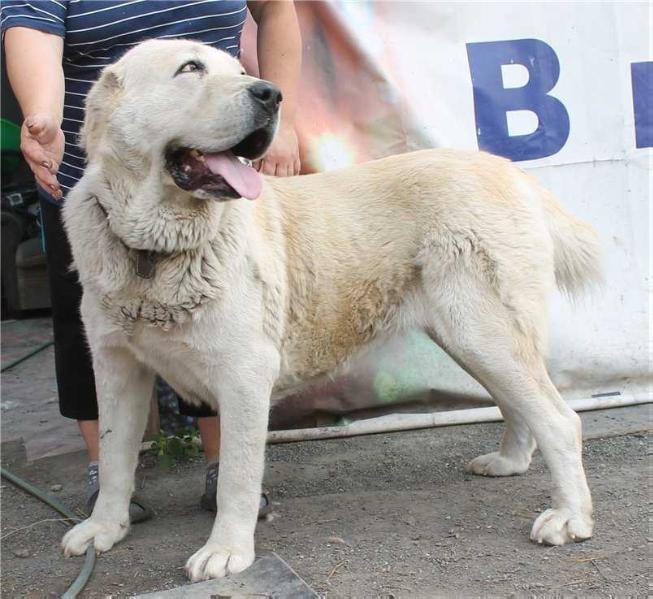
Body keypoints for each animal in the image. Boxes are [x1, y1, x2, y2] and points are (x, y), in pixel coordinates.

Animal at [62, 38, 600, 580]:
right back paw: (510, 462)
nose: (270, 93)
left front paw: (226, 549)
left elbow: (237, 475)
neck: (151, 252)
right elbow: (114, 457)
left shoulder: (243, 374)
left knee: (560, 420)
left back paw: (569, 518)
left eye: (241, 71)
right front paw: (104, 529)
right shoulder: (116, 369)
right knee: (521, 405)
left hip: (484, 334)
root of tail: (511, 171)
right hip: (475, 341)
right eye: (189, 69)